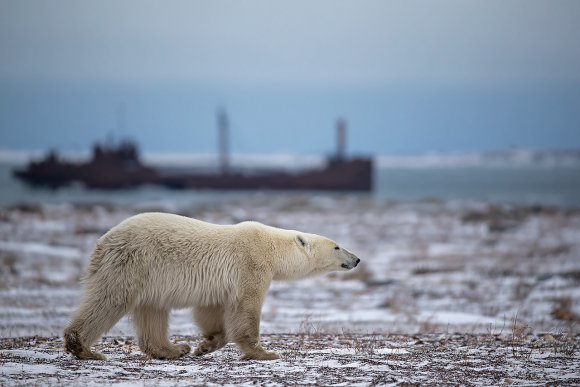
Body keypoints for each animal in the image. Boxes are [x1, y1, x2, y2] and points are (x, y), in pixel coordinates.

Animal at [64, 212, 362, 360]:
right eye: (337, 246)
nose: (357, 259)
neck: (272, 247)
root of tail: (102, 242)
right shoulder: (250, 265)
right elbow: (246, 308)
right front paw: (264, 353)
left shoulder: (220, 285)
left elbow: (211, 310)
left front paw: (205, 345)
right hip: (131, 262)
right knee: (110, 299)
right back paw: (84, 348)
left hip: (148, 276)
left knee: (152, 310)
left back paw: (173, 349)